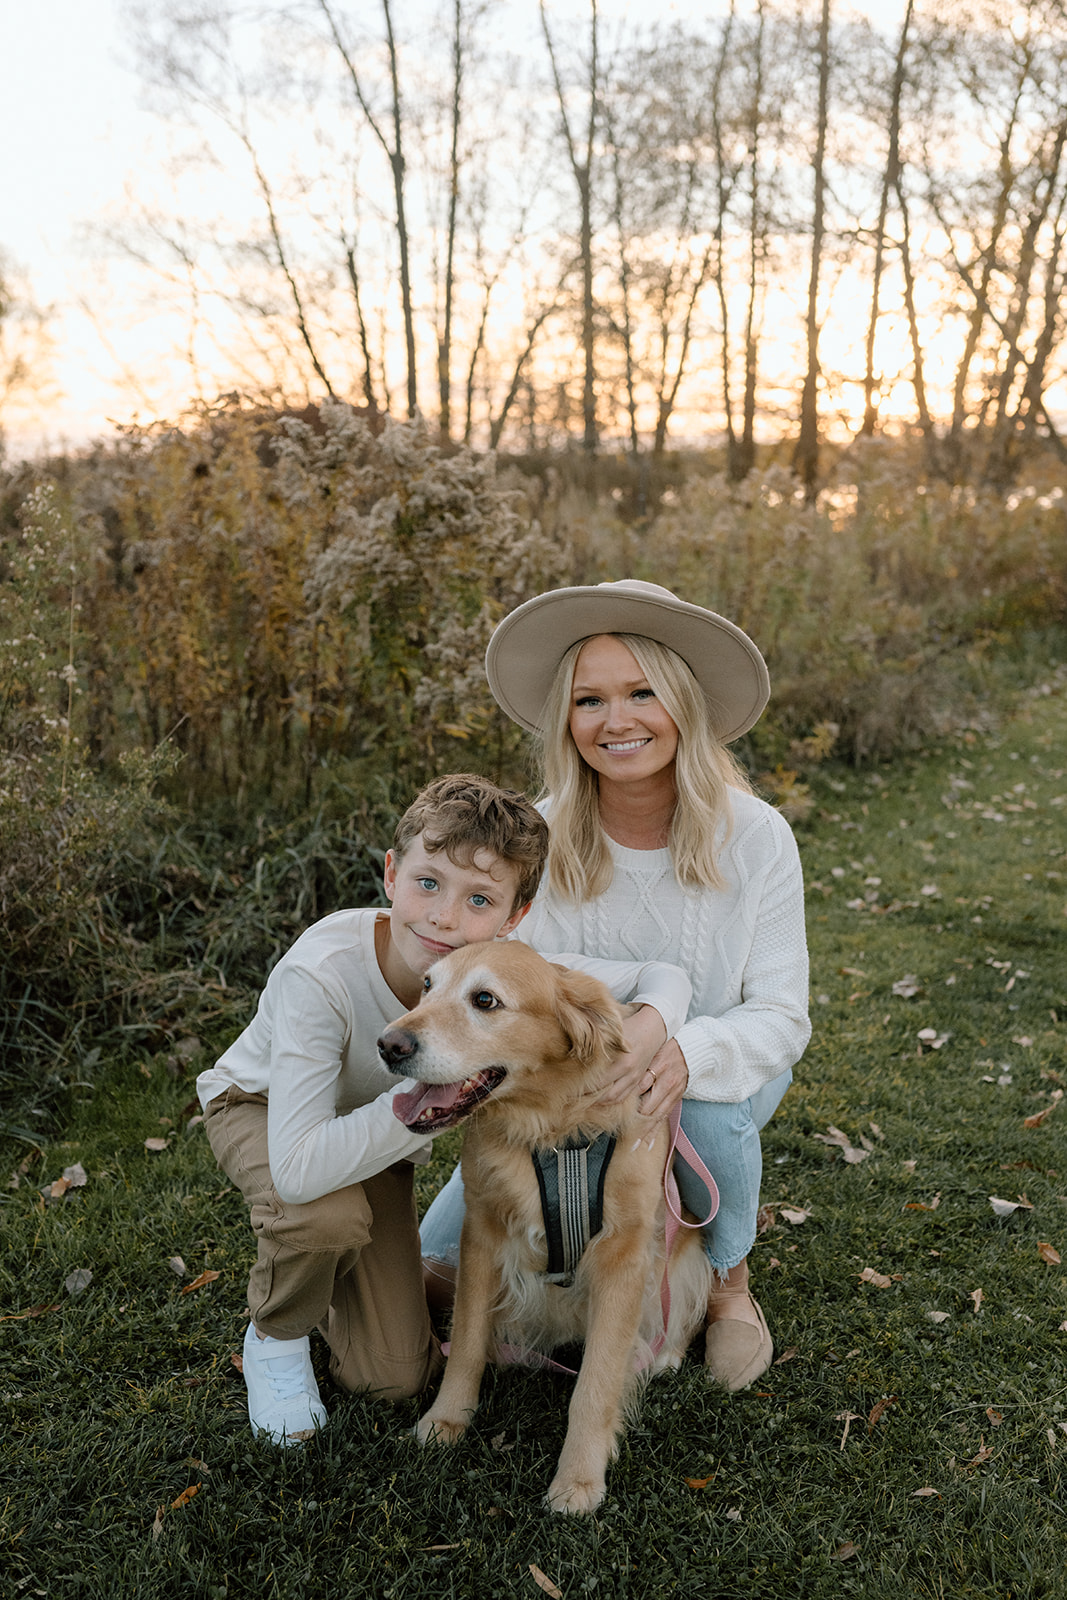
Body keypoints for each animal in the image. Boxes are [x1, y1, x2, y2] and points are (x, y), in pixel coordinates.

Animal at [379, 934, 713, 1510]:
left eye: (485, 1000)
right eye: (426, 985)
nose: (388, 1045)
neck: (553, 1131)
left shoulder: (624, 1256)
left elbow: (596, 1381)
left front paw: (579, 1478)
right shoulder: (482, 1234)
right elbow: (465, 1343)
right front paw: (445, 1420)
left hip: (686, 1254)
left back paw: (666, 1353)